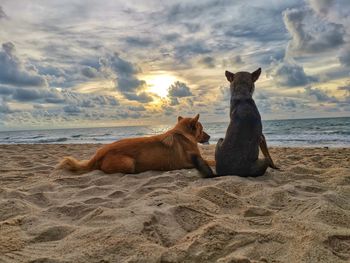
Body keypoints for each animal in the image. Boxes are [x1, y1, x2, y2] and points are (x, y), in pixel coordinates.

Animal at [57, 115, 215, 177]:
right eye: (202, 129)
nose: (210, 137)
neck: (182, 133)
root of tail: (99, 154)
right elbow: (212, 160)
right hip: (128, 163)